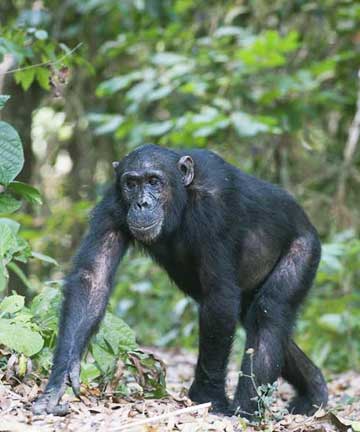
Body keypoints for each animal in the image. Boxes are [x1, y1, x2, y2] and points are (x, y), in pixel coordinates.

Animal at [32, 145, 328, 418]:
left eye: (154, 181)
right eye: (131, 184)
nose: (141, 203)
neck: (181, 199)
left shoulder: (215, 206)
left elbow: (219, 297)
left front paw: (208, 397)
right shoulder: (112, 205)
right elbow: (94, 277)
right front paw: (58, 381)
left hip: (305, 247)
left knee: (269, 311)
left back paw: (246, 412)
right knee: (259, 320)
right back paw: (313, 392)